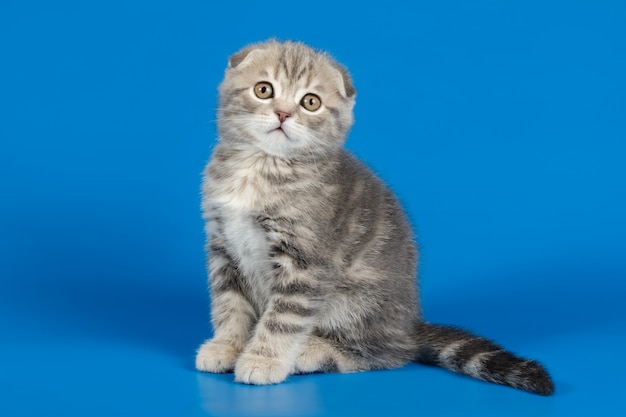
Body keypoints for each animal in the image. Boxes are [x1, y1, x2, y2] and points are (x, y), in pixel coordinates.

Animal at [195, 40, 552, 394]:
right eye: (264, 89)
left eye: (310, 102)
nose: (283, 113)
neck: (261, 166)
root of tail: (408, 326)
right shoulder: (223, 249)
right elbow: (229, 304)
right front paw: (227, 345)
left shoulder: (306, 261)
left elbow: (284, 317)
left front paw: (263, 359)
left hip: (356, 303)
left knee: (388, 354)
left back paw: (312, 351)